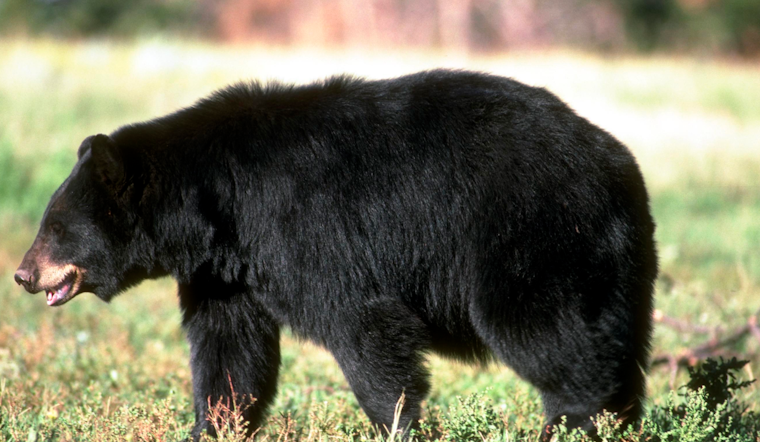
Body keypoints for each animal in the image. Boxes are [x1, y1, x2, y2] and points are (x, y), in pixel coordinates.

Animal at [14, 69, 657, 440]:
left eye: (56, 226)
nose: (22, 273)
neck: (217, 206)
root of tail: (617, 161)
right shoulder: (226, 272)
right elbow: (229, 350)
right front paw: (211, 427)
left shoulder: (306, 227)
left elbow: (361, 323)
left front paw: (398, 424)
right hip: (614, 259)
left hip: (531, 231)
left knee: (545, 331)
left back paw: (574, 421)